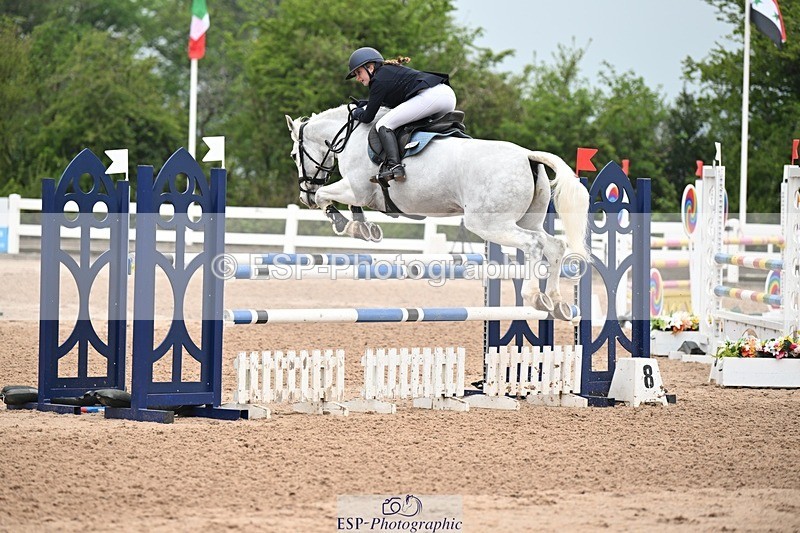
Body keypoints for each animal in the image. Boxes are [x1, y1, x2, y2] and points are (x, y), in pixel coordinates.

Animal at [284, 104, 590, 320]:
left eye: (294, 155)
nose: (304, 195)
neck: (351, 135)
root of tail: (528, 156)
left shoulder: (357, 188)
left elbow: (328, 196)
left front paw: (344, 224)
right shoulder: (358, 191)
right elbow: (346, 203)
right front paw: (363, 227)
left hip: (489, 224)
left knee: (534, 244)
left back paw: (534, 295)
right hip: (529, 219)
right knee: (554, 246)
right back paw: (556, 301)